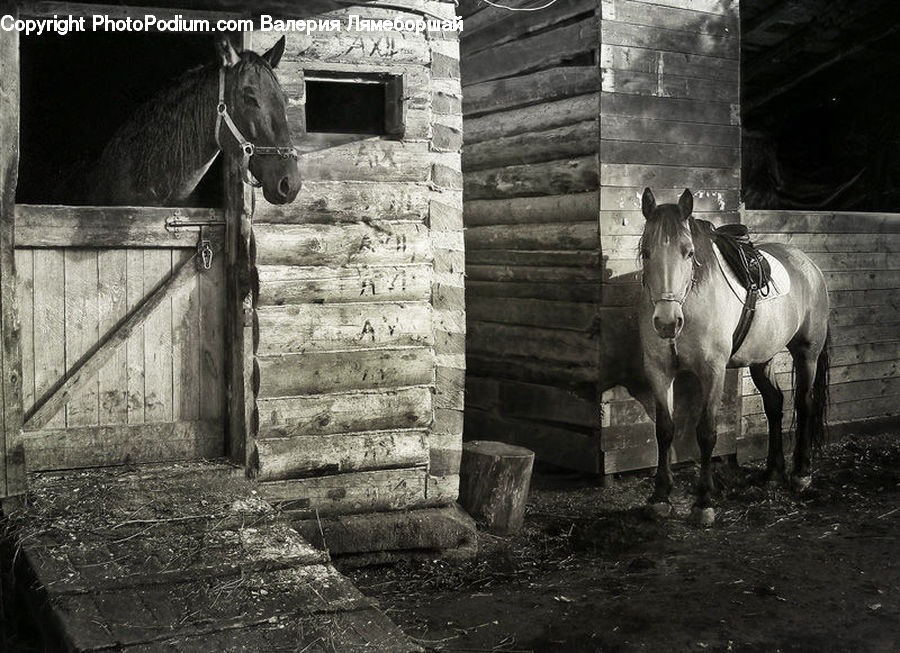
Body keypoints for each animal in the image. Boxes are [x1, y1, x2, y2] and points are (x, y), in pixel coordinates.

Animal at [640, 188, 828, 524]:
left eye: (688, 252)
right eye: (646, 252)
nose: (666, 322)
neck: (690, 303)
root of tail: (808, 265)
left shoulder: (712, 372)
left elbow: (706, 432)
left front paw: (704, 501)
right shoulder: (659, 371)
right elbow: (665, 430)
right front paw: (660, 496)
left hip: (808, 352)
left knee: (804, 404)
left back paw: (801, 473)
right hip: (762, 358)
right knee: (774, 404)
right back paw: (772, 472)